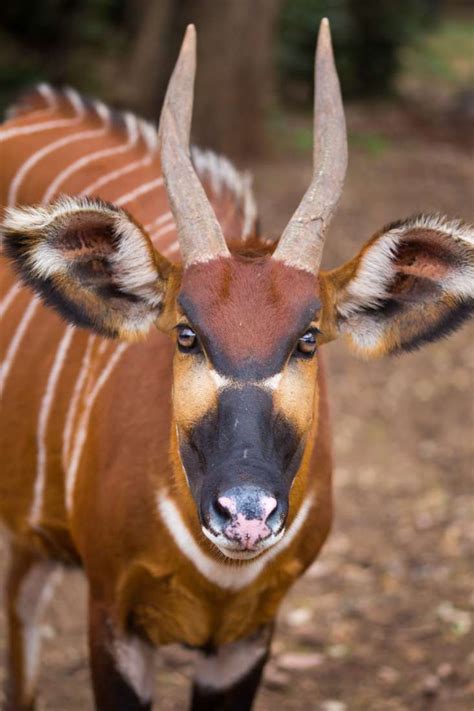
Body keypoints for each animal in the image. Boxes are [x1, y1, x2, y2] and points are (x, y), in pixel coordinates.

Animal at [0, 20, 474, 711]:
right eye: (186, 334)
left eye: (308, 339)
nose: (246, 515)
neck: (221, 572)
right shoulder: (111, 615)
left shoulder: (248, 637)